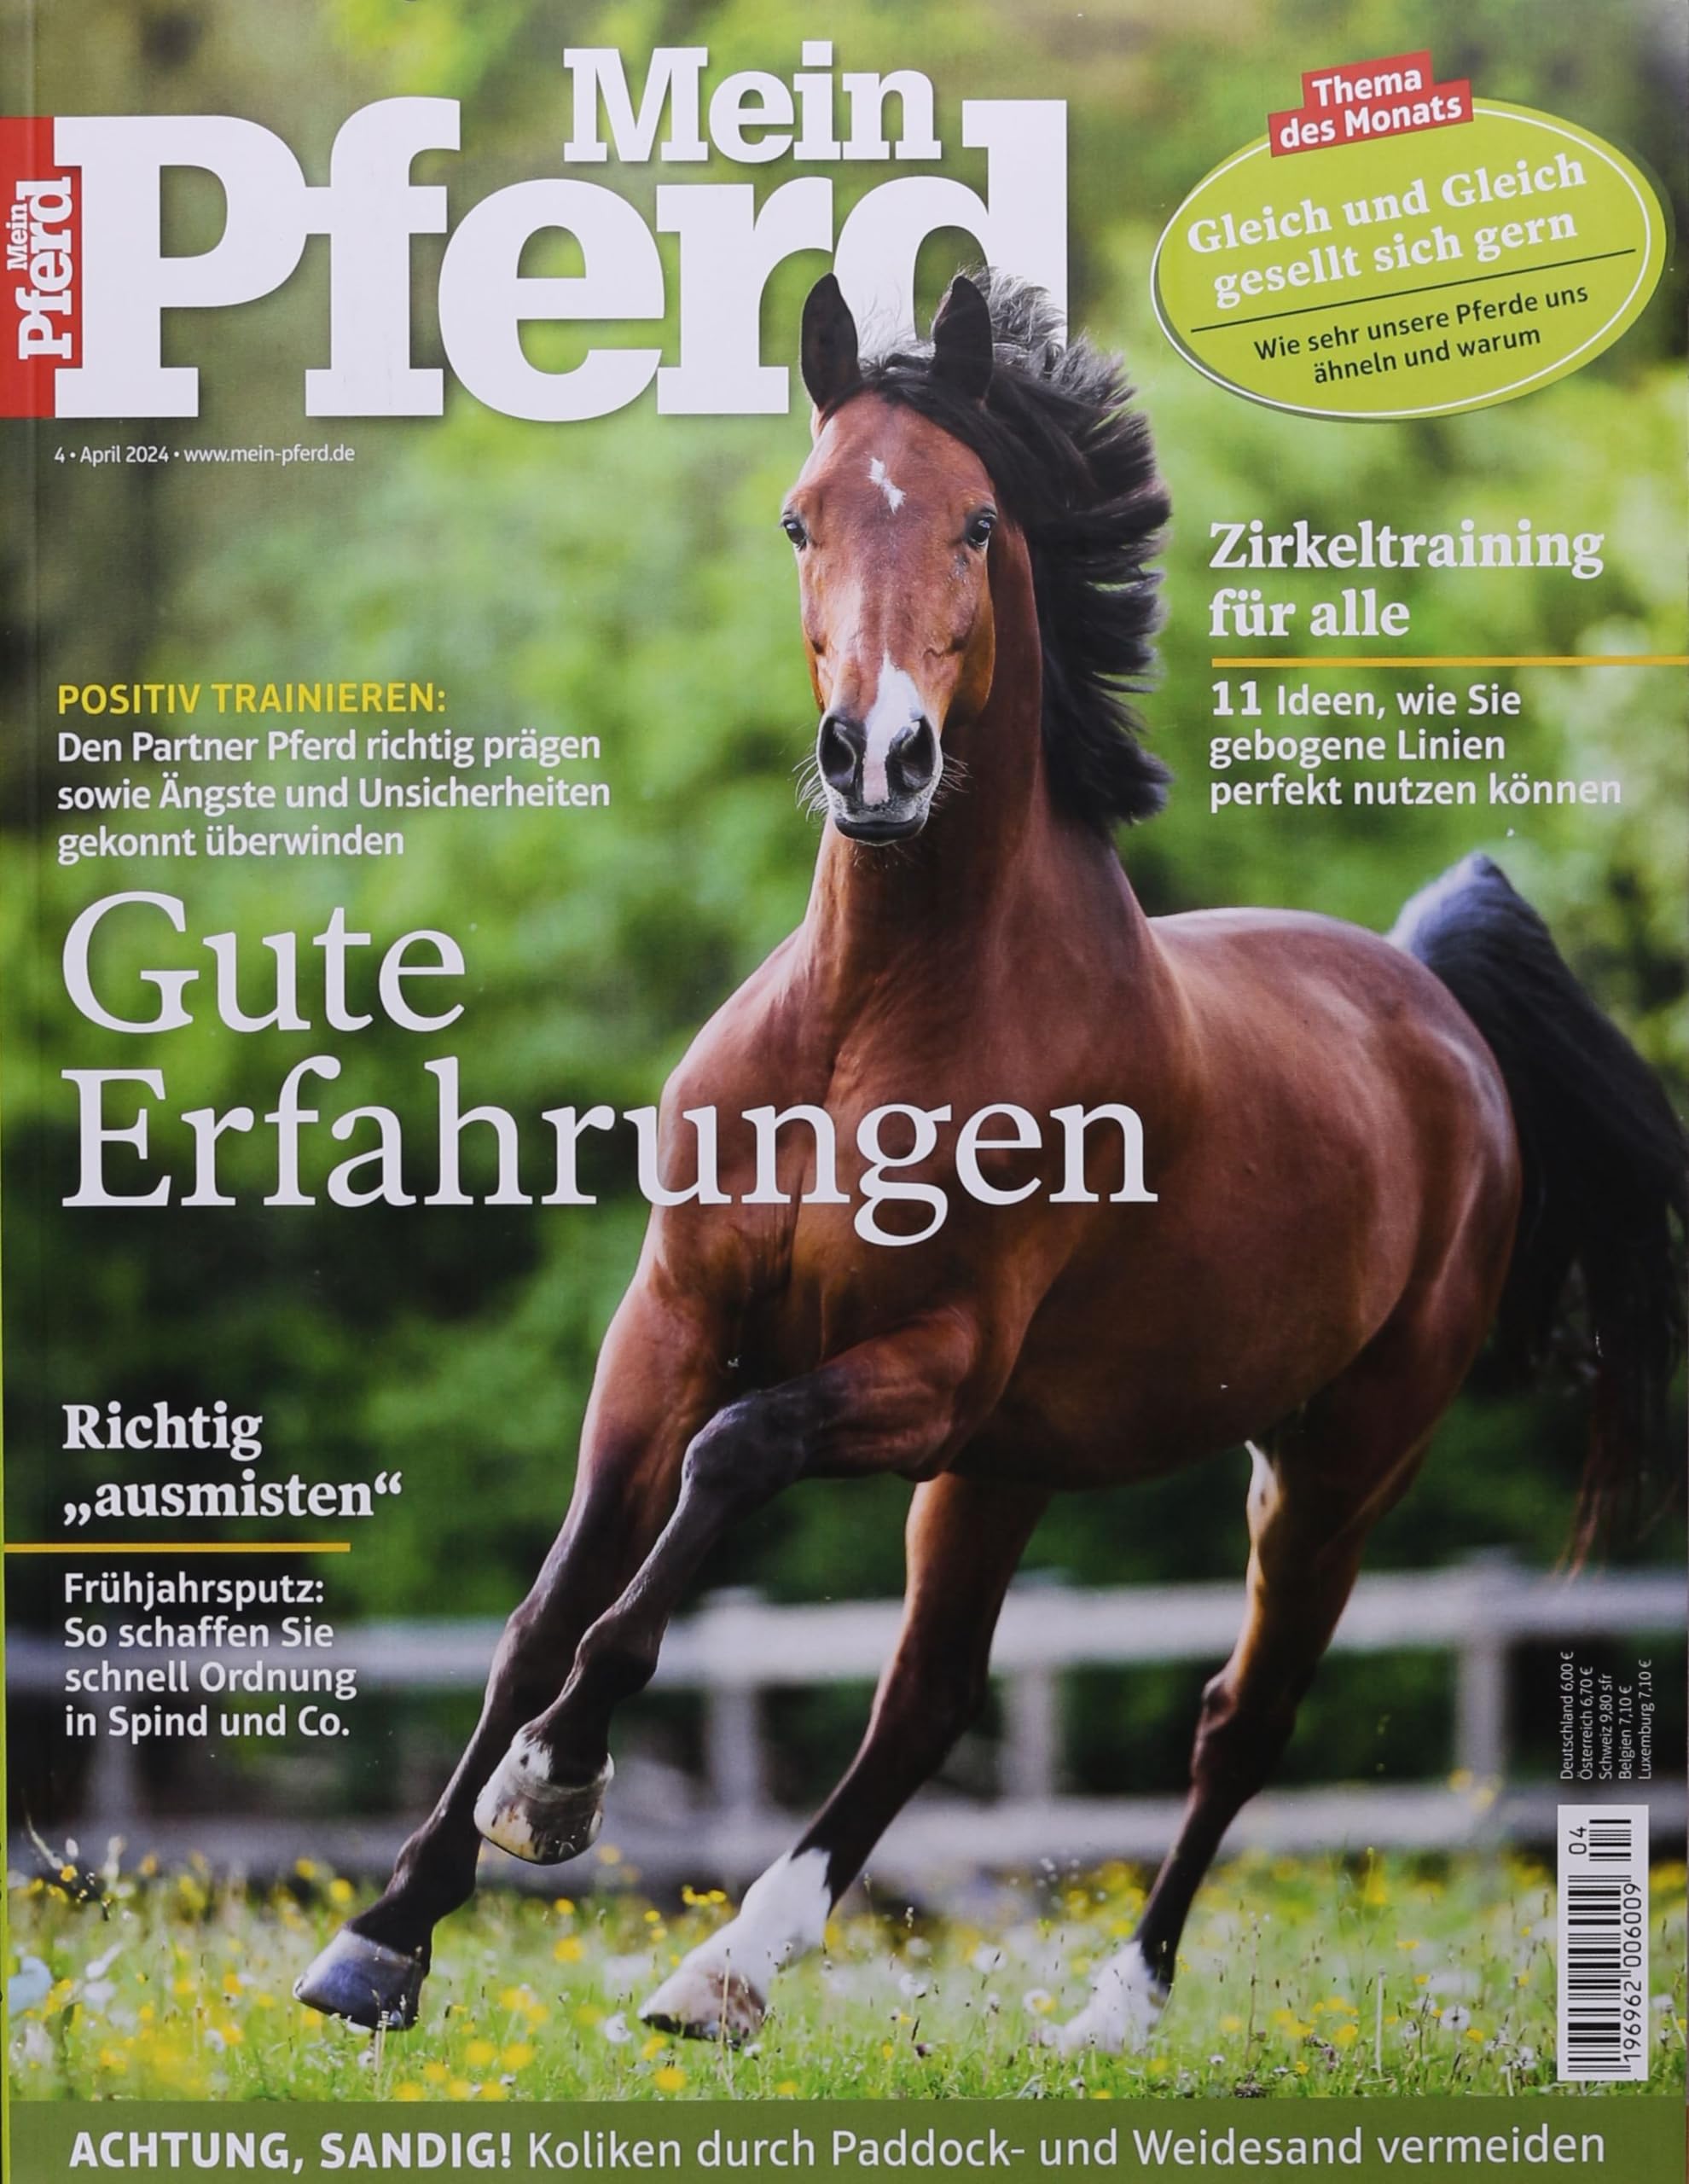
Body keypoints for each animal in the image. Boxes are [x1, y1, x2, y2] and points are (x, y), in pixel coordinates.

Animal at [297, 269, 1685, 2052]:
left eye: (971, 522)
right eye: (800, 518)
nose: (875, 759)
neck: (870, 1026)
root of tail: (1431, 999)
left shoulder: (931, 1370)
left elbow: (729, 1461)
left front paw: (557, 1787)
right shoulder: (671, 1322)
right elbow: (548, 1607)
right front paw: (384, 1936)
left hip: (1329, 1462)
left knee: (1241, 1717)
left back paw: (1111, 2011)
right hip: (1020, 1460)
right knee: (934, 1694)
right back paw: (723, 1974)